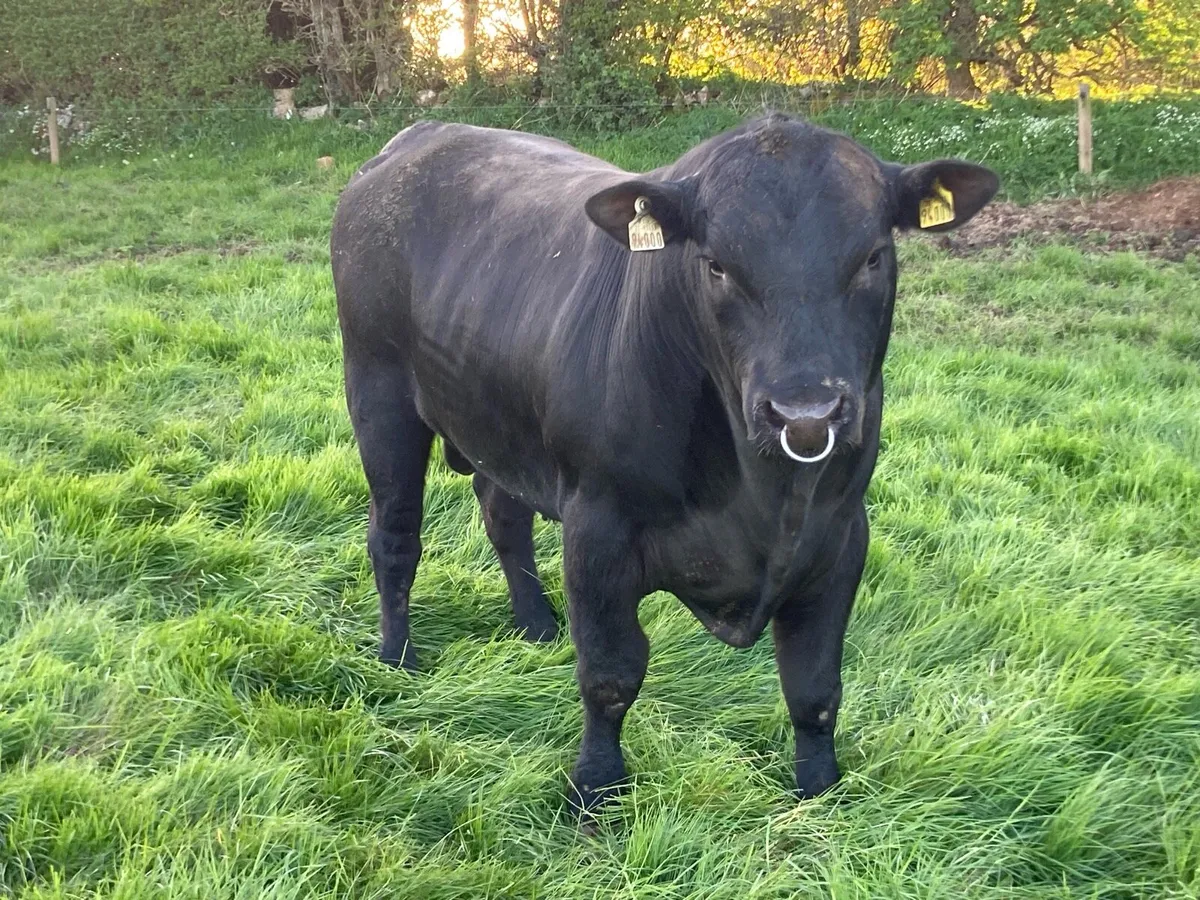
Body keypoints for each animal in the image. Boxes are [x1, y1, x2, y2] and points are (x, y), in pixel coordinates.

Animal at [330, 113, 998, 816]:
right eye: (716, 265)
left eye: (872, 256)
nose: (805, 412)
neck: (764, 495)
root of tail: (419, 135)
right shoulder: (597, 527)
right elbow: (610, 673)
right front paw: (596, 788)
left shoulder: (842, 534)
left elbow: (815, 685)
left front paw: (820, 790)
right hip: (378, 396)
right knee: (396, 537)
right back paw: (397, 655)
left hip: (496, 421)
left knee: (504, 516)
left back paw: (536, 625)